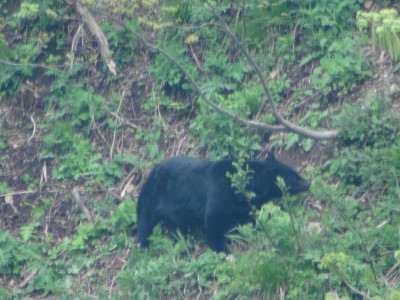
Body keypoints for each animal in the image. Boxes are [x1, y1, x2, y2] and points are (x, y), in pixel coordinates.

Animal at [136, 151, 310, 252]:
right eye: (294, 175)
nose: (308, 183)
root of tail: (149, 174)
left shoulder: (244, 205)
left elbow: (250, 217)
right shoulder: (220, 193)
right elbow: (212, 220)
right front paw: (222, 248)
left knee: (176, 227)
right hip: (152, 197)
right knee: (145, 221)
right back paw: (146, 243)